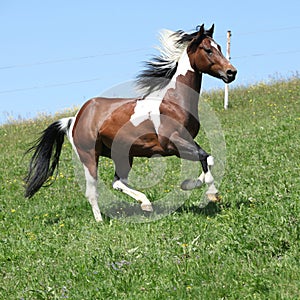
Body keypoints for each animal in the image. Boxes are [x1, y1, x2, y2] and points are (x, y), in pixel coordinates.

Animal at [24, 24, 237, 221]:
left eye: (219, 47)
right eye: (208, 50)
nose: (231, 72)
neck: (174, 101)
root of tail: (74, 119)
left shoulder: (185, 142)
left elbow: (209, 158)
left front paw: (188, 184)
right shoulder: (172, 142)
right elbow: (204, 156)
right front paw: (213, 194)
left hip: (123, 154)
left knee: (118, 182)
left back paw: (146, 204)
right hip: (89, 156)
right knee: (93, 191)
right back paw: (101, 221)